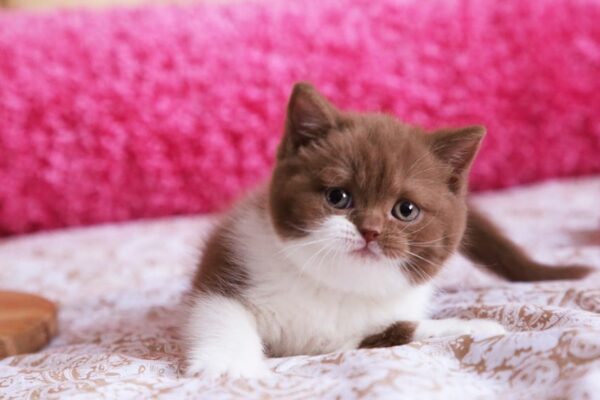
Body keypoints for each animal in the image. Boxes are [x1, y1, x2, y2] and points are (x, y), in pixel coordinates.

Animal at [184, 82, 592, 378]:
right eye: (338, 196)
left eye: (405, 209)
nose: (371, 231)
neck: (333, 286)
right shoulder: (230, 259)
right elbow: (222, 311)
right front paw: (228, 366)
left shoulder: (355, 333)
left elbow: (398, 331)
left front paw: (474, 327)